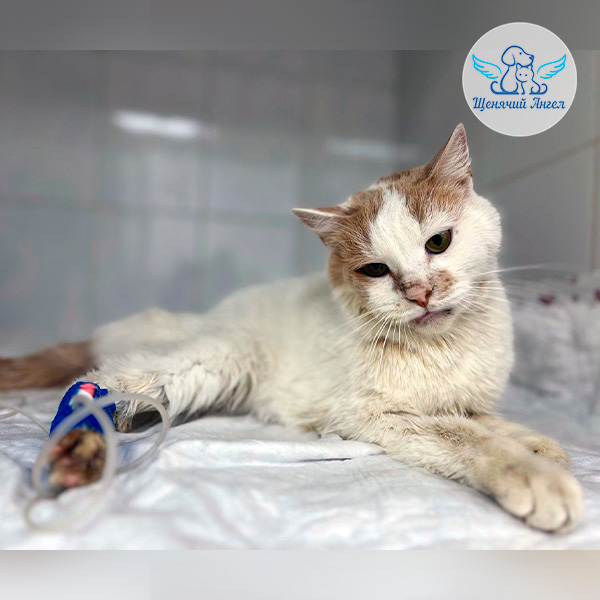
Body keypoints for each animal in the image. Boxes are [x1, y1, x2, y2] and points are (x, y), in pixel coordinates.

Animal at [0, 124, 583, 533]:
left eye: (438, 242)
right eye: (376, 270)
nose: (419, 291)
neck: (444, 347)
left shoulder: (471, 399)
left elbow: (489, 421)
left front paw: (539, 444)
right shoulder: (374, 417)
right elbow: (464, 435)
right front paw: (536, 477)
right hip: (212, 359)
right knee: (102, 384)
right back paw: (79, 451)